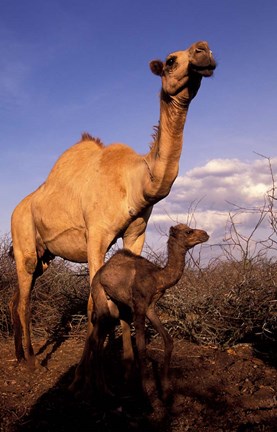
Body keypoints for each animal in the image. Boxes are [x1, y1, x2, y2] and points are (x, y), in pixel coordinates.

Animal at [88, 223, 207, 402]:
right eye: (188, 231)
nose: (206, 234)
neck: (158, 278)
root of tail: (98, 274)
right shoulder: (139, 306)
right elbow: (142, 347)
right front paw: (145, 390)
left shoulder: (150, 307)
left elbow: (168, 341)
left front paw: (165, 391)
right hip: (99, 296)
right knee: (96, 339)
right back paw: (104, 390)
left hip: (113, 307)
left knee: (100, 339)